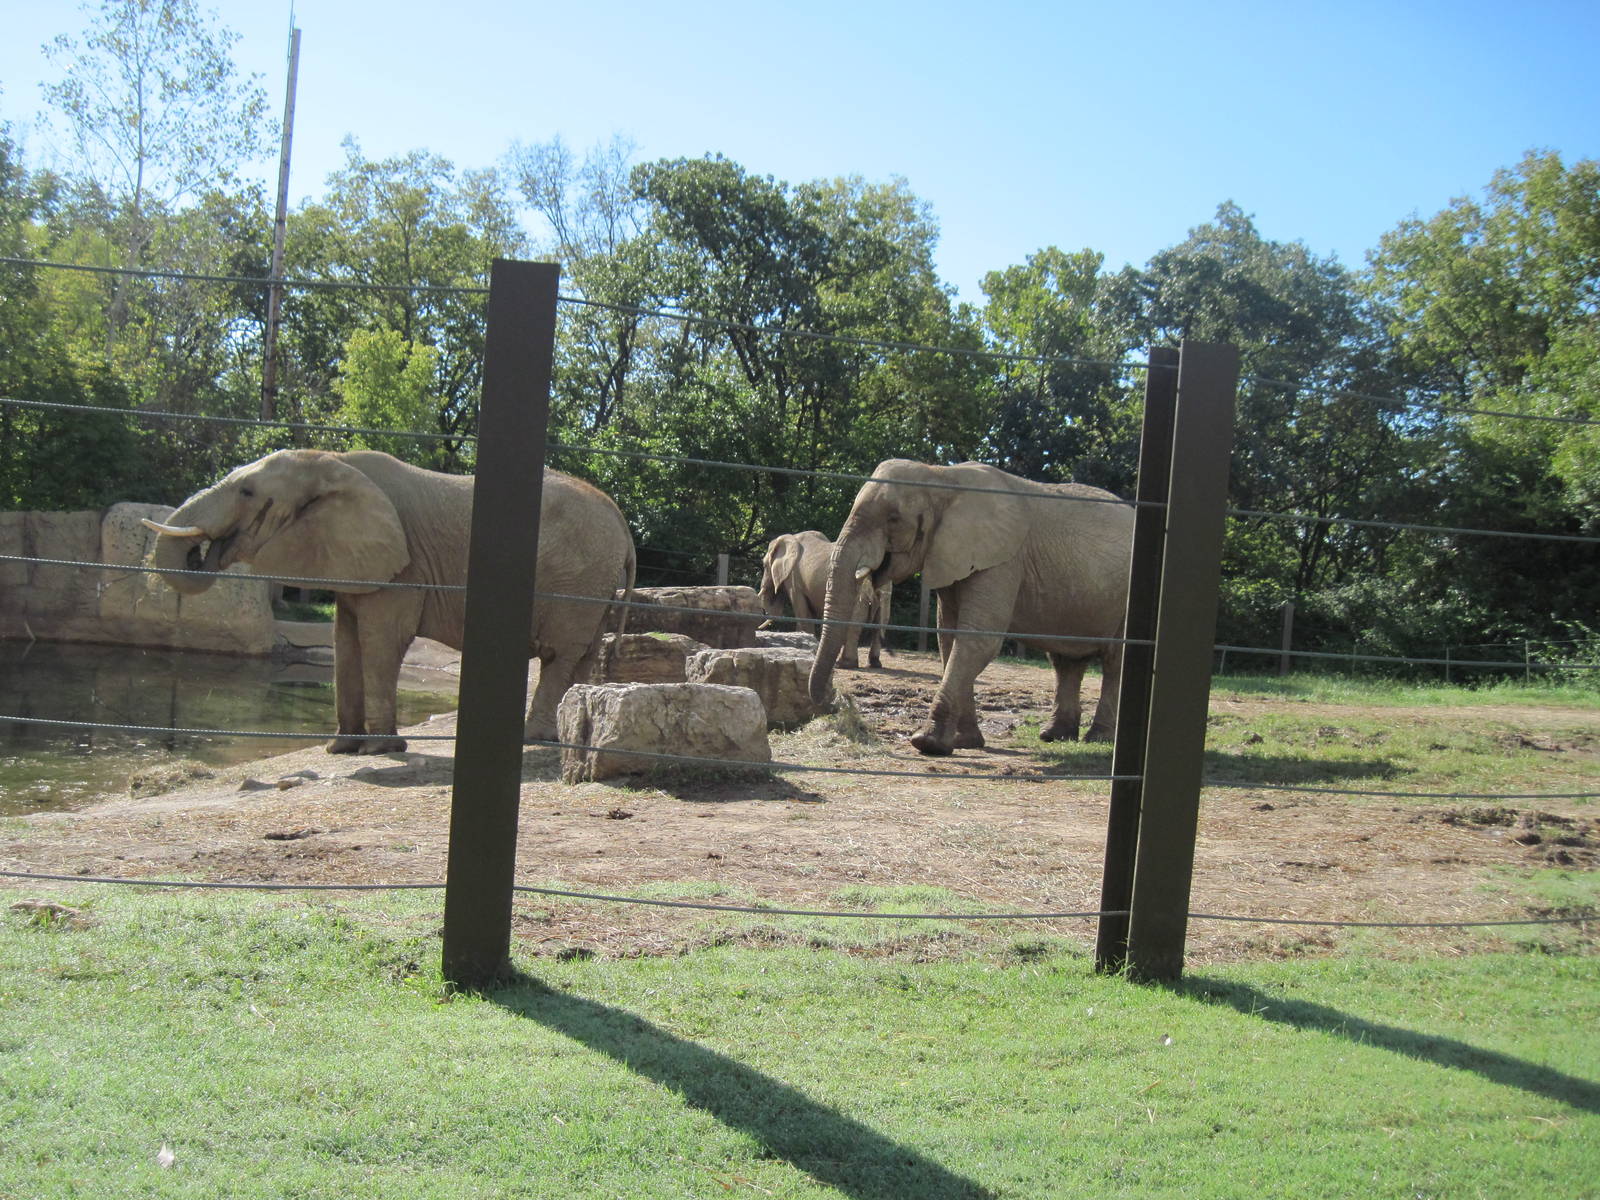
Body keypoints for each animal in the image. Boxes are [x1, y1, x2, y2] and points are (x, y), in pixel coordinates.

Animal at [143, 448, 636, 755]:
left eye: (246, 492)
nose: (201, 553)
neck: (333, 461)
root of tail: (622, 523)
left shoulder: (403, 570)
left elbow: (381, 639)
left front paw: (380, 749)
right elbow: (345, 640)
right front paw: (341, 749)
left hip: (576, 580)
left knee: (559, 654)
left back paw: (535, 739)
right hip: (592, 582)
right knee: (582, 654)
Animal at [756, 530, 890, 668]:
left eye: (764, 565)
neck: (791, 538)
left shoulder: (794, 578)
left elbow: (802, 611)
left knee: (855, 622)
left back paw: (844, 664)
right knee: (880, 620)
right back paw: (874, 664)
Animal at [808, 459, 1133, 756]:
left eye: (894, 519)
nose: (833, 701)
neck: (941, 477)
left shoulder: (1001, 559)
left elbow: (978, 638)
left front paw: (927, 744)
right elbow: (949, 638)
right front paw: (965, 742)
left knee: (1114, 661)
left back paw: (1098, 738)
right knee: (1066, 661)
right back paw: (1053, 736)